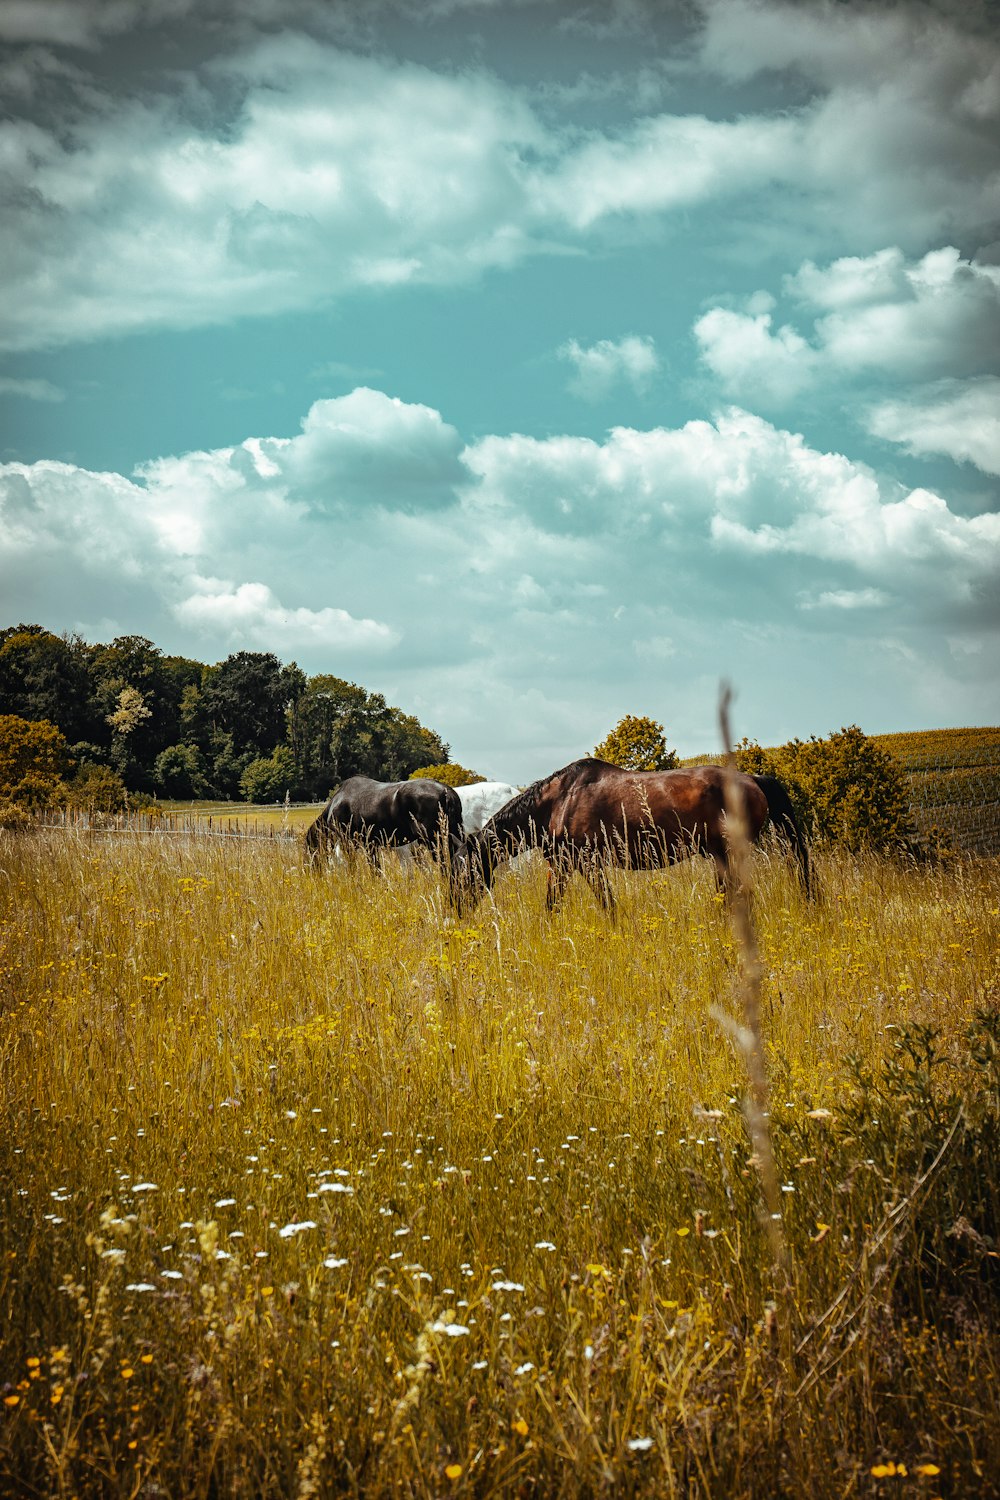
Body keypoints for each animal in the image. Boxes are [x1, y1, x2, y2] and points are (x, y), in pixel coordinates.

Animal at [305, 774, 464, 870]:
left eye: (311, 849)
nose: (312, 871)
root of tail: (446, 791)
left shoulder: (348, 844)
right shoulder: (370, 845)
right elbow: (376, 869)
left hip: (433, 841)